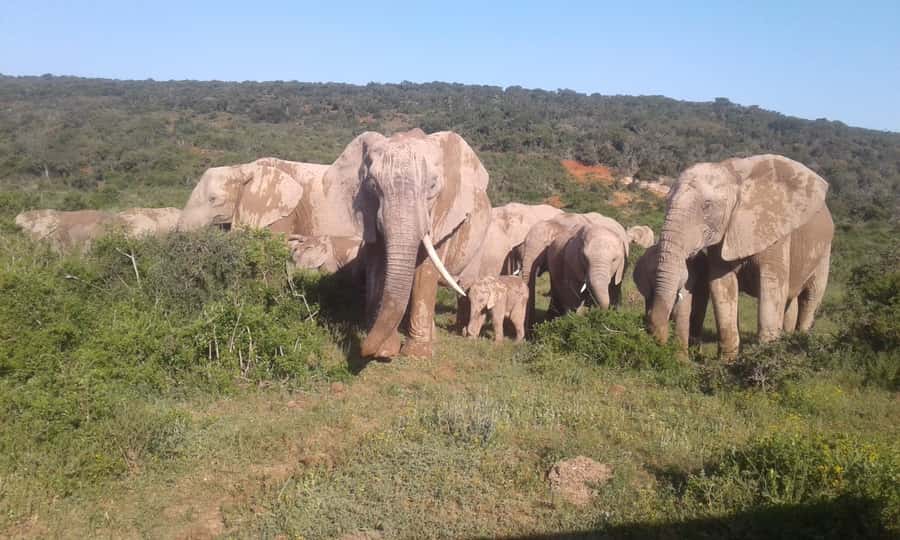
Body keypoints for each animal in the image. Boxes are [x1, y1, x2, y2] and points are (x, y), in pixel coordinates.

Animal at [647, 154, 834, 359]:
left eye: (707, 206)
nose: (662, 343)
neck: (733, 175)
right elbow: (722, 285)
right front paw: (727, 361)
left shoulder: (773, 230)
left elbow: (771, 286)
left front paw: (764, 358)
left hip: (825, 252)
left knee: (811, 297)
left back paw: (800, 346)